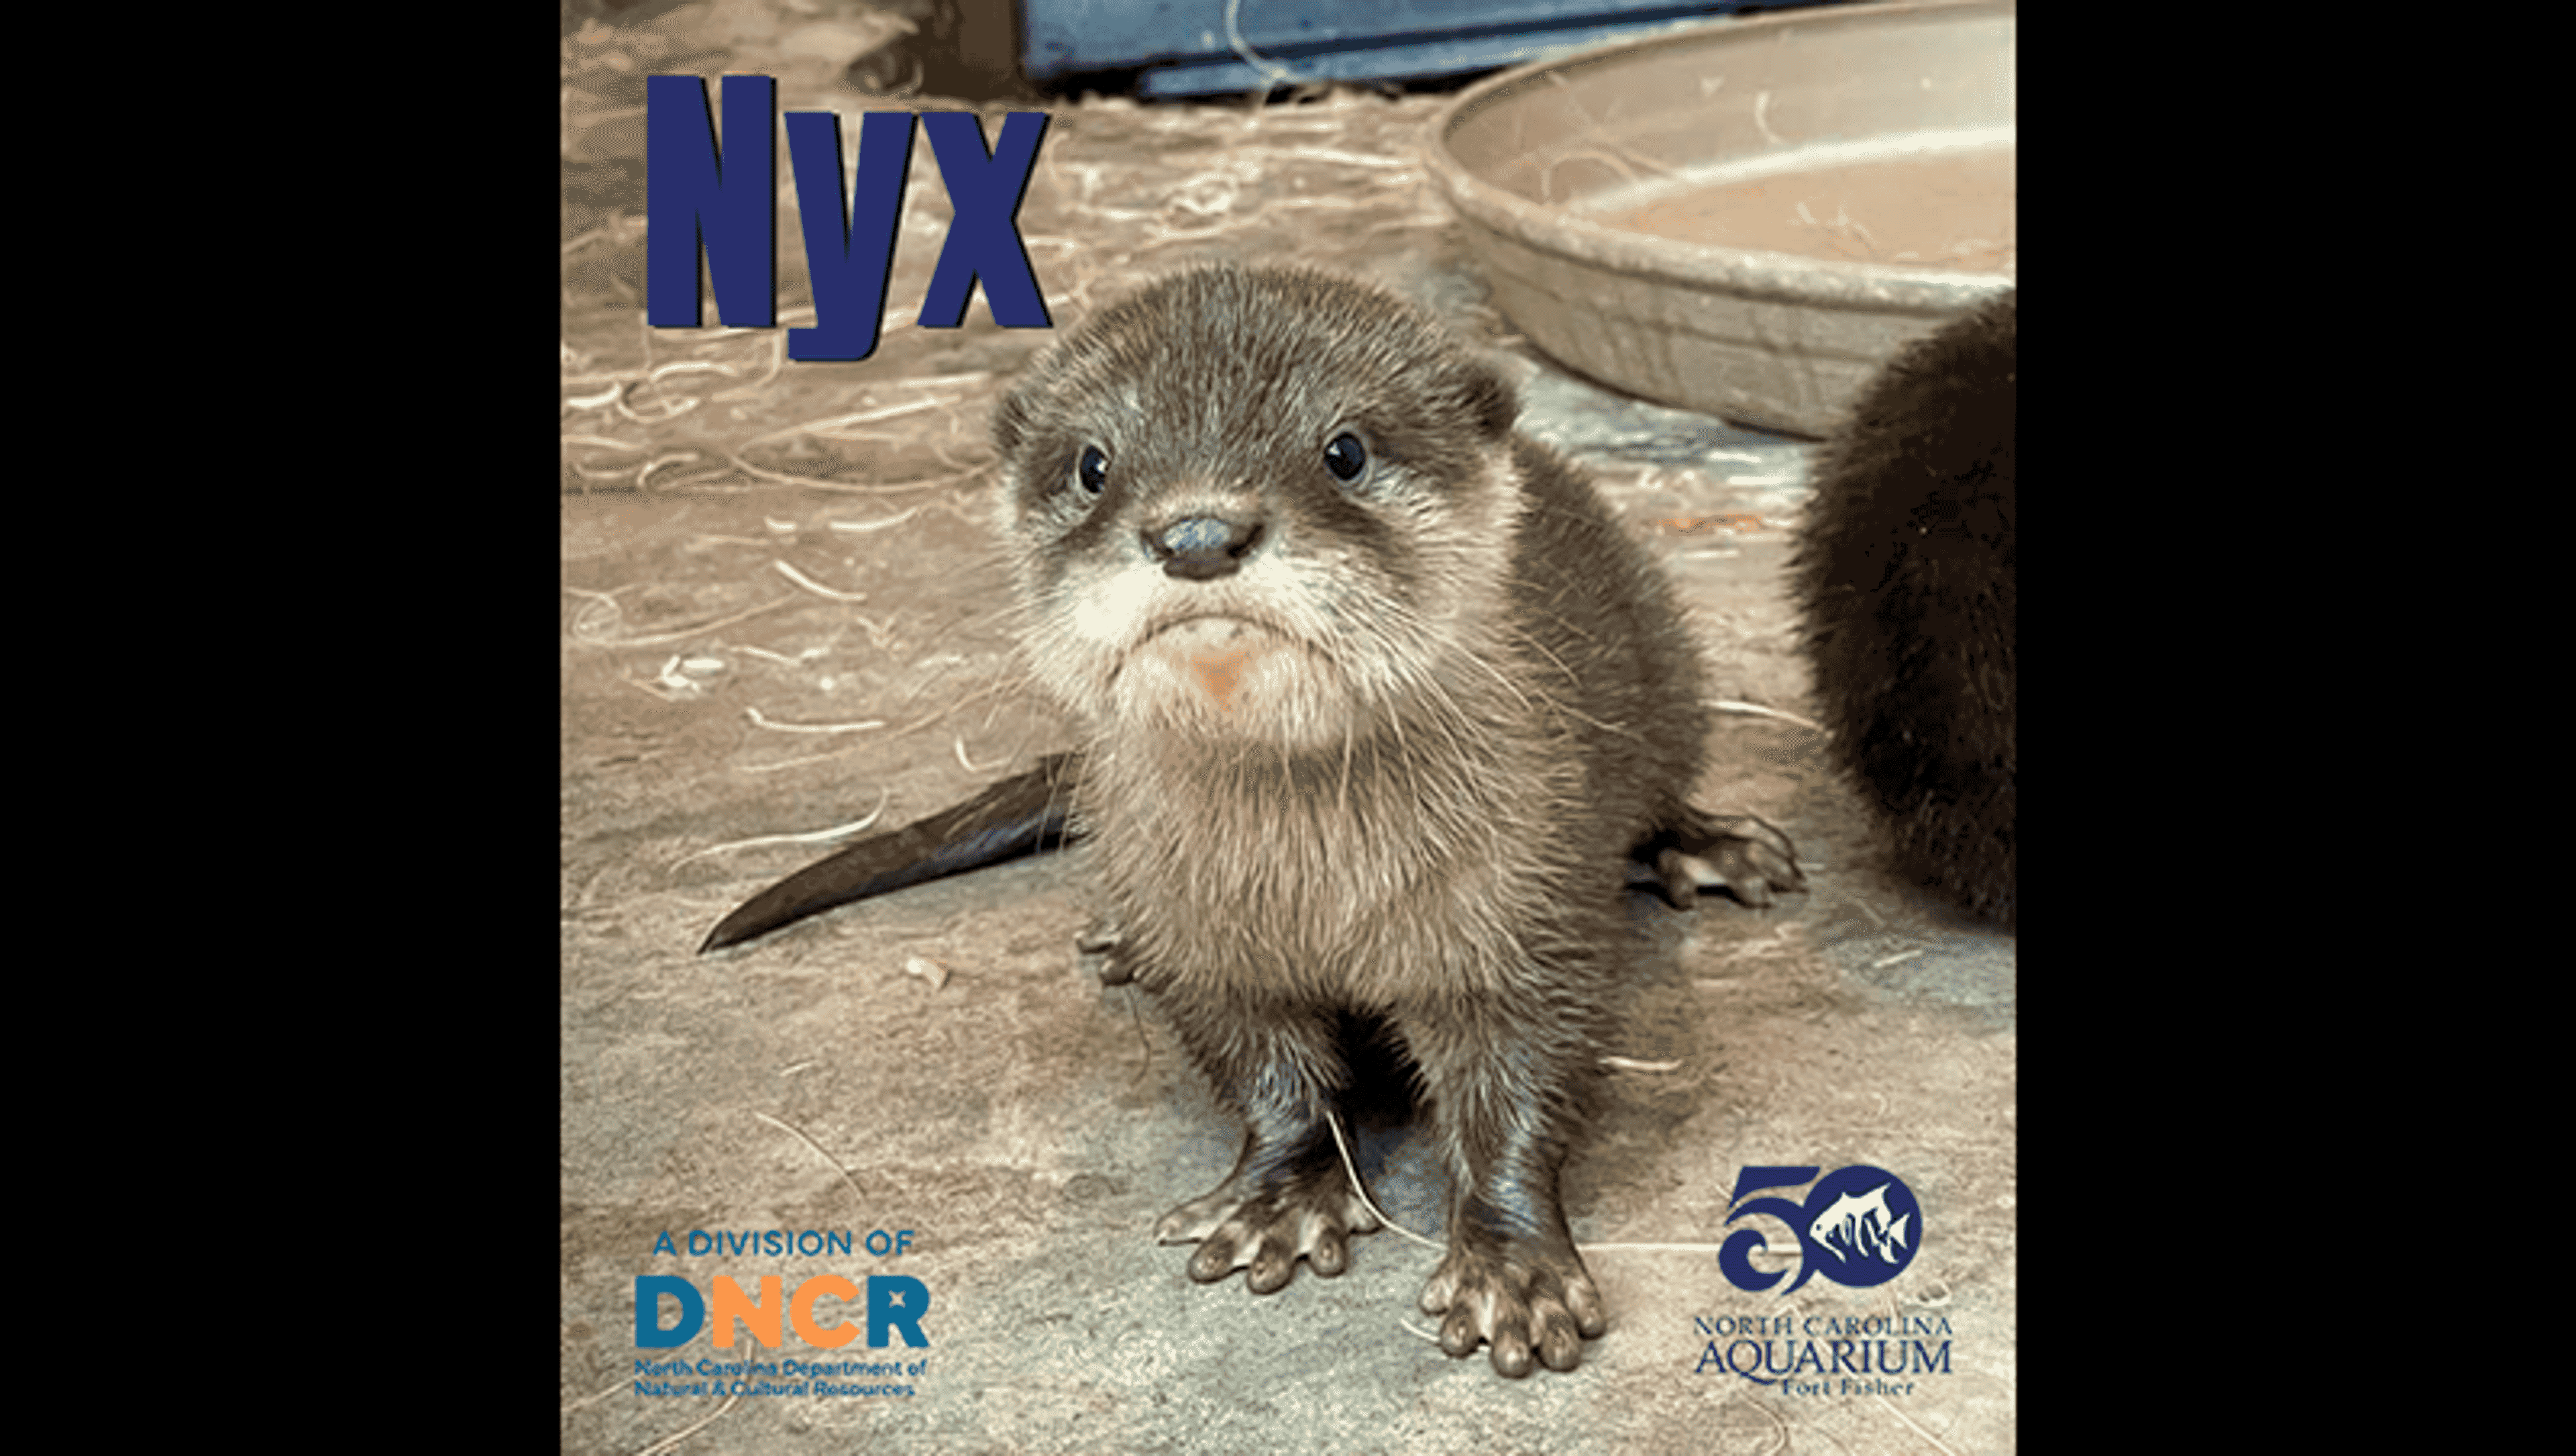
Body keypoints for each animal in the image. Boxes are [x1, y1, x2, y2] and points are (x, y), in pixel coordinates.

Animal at [704, 264, 1803, 1377]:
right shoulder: (1203, 934)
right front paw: (1277, 1197)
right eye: (1094, 464)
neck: (1313, 888)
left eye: (1345, 449)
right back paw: (1117, 938)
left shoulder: (1522, 899)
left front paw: (1512, 1269)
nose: (1197, 534)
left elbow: (1522, 1076)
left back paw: (1714, 846)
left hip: (1668, 670)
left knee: (1663, 781)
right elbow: (1265, 1070)